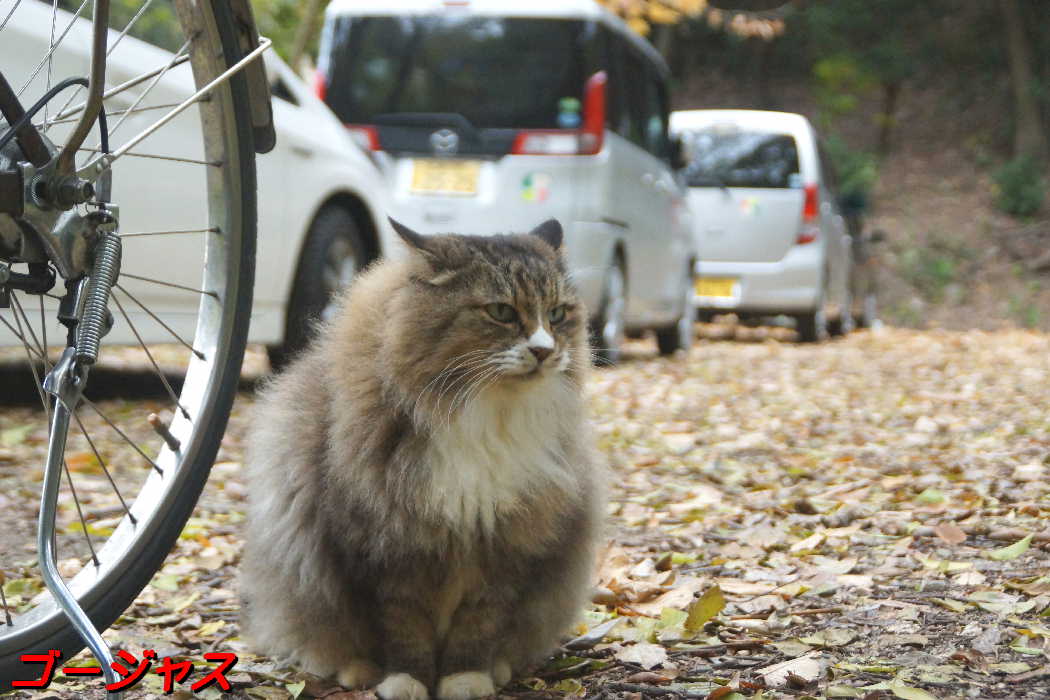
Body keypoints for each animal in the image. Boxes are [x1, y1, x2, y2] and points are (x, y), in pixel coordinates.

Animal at [240, 219, 604, 700]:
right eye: (502, 312)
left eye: (558, 314)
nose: (545, 350)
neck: (484, 418)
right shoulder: (386, 551)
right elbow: (404, 629)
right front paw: (406, 681)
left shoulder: (504, 546)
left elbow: (478, 626)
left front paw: (465, 679)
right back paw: (358, 672)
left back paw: (499, 669)